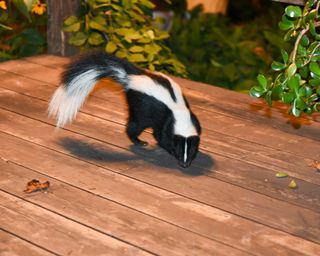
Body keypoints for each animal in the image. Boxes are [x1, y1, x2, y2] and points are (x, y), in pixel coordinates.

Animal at [48, 52, 200, 168]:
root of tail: (131, 77)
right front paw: (167, 148)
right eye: (179, 150)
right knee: (134, 126)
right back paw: (139, 141)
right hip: (139, 107)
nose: (184, 164)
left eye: (190, 151)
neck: (179, 111)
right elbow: (161, 137)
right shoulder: (166, 121)